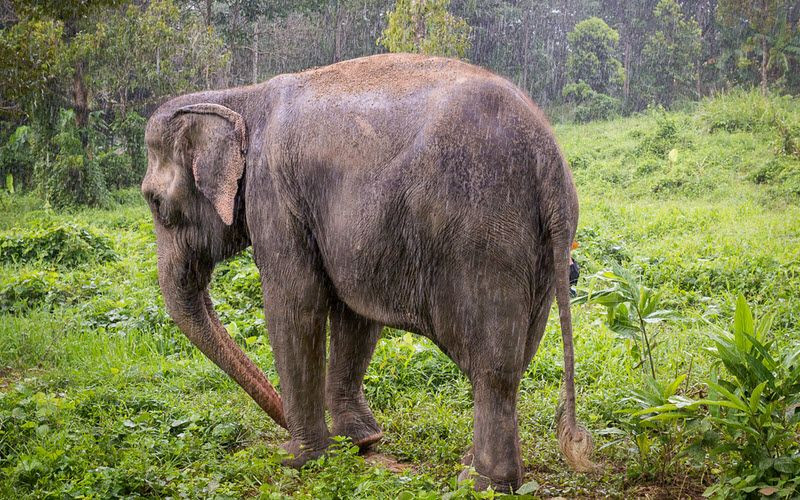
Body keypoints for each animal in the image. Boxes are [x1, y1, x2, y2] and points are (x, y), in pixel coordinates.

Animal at [141, 52, 592, 490]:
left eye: (156, 203)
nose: (282, 424)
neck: (239, 96)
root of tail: (547, 158)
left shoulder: (274, 195)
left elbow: (295, 303)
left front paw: (297, 459)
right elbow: (353, 312)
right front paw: (358, 443)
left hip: (484, 236)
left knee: (492, 367)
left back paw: (480, 482)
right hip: (540, 250)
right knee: (516, 360)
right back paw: (475, 467)